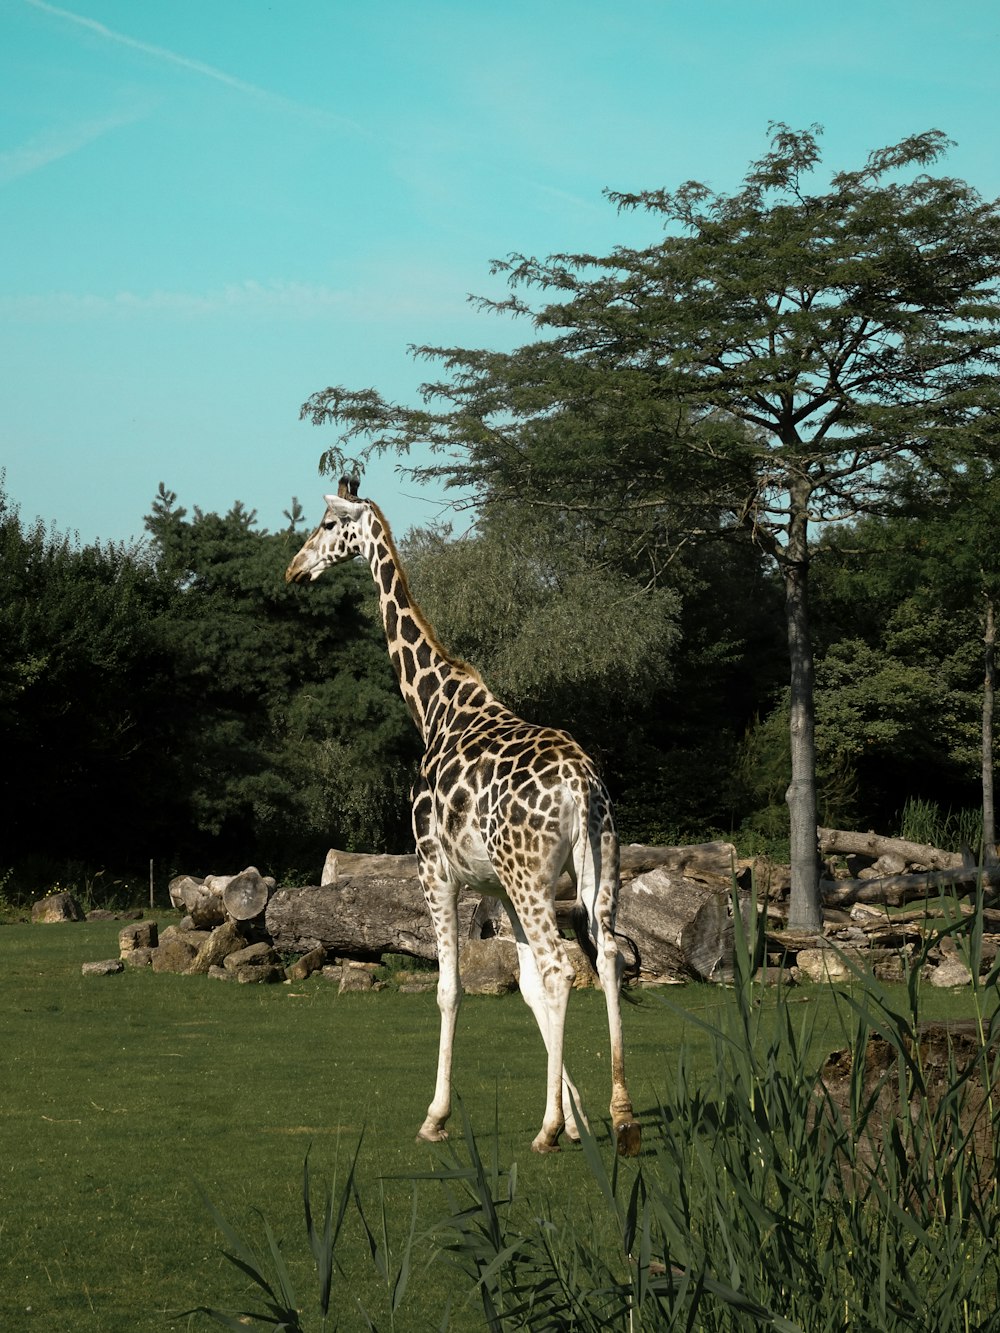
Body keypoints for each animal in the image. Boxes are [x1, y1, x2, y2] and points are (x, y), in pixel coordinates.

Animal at [284, 482, 642, 1157]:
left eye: (327, 523)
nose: (295, 568)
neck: (434, 706)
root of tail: (581, 786)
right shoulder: (494, 886)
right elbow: (524, 988)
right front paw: (578, 1115)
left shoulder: (436, 869)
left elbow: (451, 988)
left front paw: (438, 1116)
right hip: (594, 869)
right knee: (604, 958)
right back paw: (623, 1117)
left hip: (533, 876)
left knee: (562, 968)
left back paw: (546, 1133)